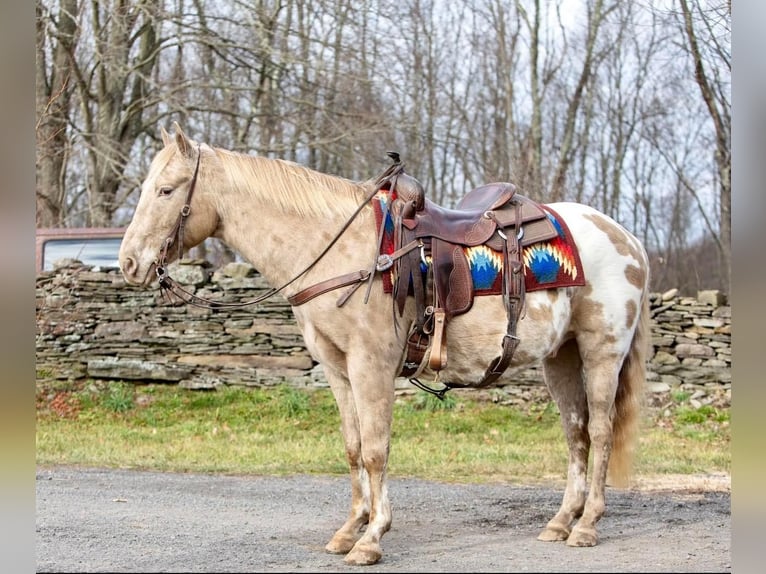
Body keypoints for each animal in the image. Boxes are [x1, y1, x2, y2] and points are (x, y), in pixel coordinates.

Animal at [118, 124, 648, 568]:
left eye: (166, 190)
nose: (128, 263)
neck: (337, 250)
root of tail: (627, 238)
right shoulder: (337, 369)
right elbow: (353, 448)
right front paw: (349, 530)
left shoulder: (370, 366)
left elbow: (376, 450)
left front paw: (372, 539)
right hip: (561, 358)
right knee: (575, 433)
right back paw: (560, 521)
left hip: (602, 352)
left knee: (600, 432)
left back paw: (587, 525)